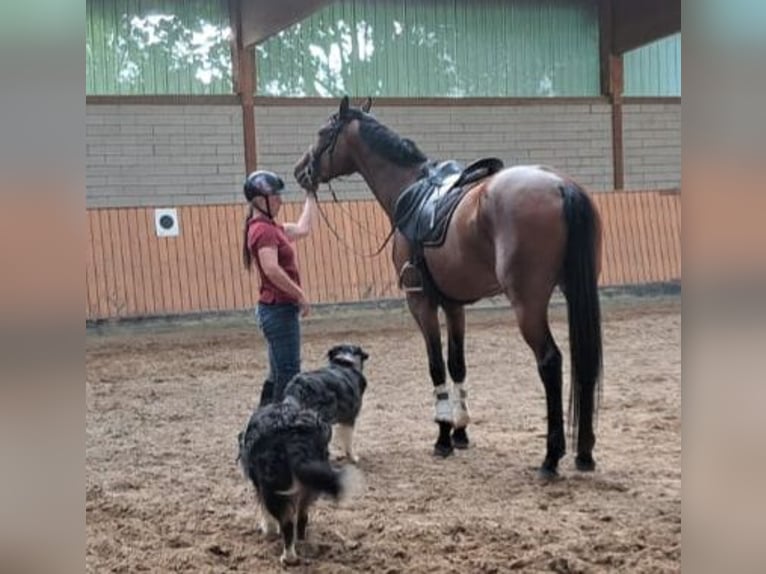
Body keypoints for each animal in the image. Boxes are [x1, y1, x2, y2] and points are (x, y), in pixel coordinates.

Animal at [238, 398, 362, 568]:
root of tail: (295, 437)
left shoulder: (262, 487)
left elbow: (266, 513)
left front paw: (269, 529)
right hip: (310, 485)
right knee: (303, 516)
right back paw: (302, 541)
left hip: (274, 487)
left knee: (288, 524)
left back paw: (289, 557)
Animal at [294, 98, 608, 482]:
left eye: (323, 132)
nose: (300, 171)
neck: (409, 189)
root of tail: (561, 186)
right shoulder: (454, 304)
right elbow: (458, 365)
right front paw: (460, 432)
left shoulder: (421, 303)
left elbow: (436, 366)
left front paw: (443, 437)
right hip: (579, 291)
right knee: (584, 360)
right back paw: (584, 453)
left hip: (528, 305)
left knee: (550, 361)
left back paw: (551, 458)